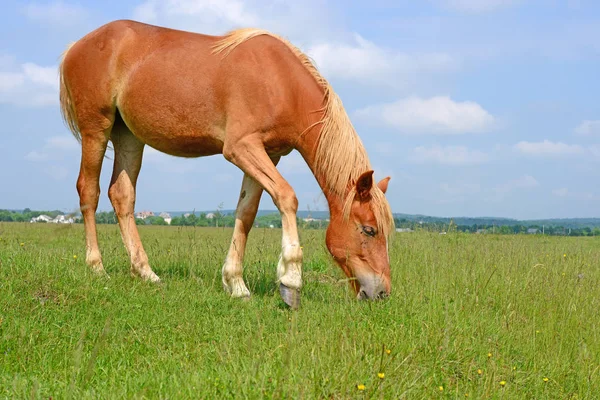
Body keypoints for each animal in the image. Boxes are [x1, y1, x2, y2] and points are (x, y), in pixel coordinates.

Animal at [59, 19, 394, 310]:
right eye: (369, 230)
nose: (382, 293)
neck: (279, 81)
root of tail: (76, 46)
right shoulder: (241, 148)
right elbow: (287, 197)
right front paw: (291, 281)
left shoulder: (267, 153)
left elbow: (247, 212)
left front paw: (236, 284)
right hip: (96, 129)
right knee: (88, 191)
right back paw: (97, 268)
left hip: (128, 136)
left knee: (122, 196)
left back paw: (146, 272)